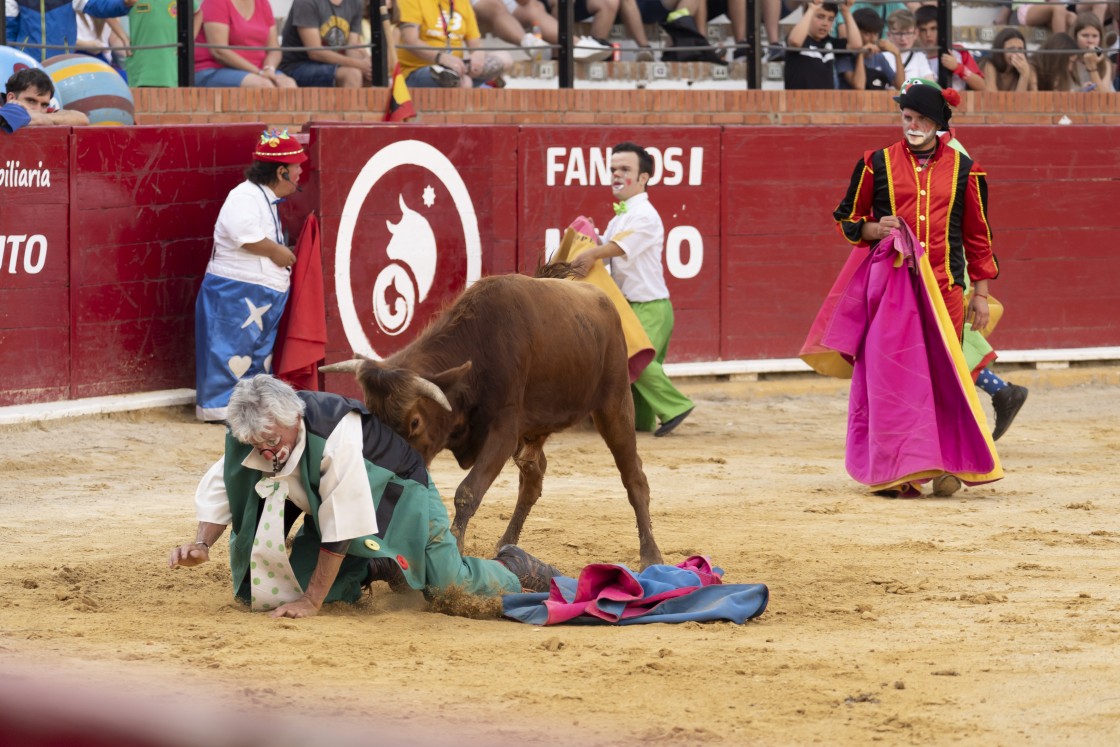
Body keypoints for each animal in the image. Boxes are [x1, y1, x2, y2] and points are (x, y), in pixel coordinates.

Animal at [320, 273, 658, 566]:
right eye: (371, 414)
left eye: (414, 422)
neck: (479, 345)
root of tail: (602, 299)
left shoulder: (504, 433)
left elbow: (467, 492)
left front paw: (455, 550)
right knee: (533, 479)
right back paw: (506, 544)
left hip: (614, 403)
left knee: (634, 477)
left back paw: (651, 554)